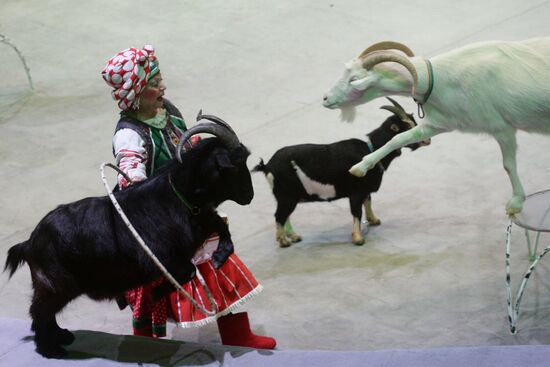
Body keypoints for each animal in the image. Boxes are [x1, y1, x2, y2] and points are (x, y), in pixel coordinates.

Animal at [1, 115, 252, 360]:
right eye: (236, 165)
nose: (249, 195)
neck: (176, 195)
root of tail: (29, 243)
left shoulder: (201, 222)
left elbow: (220, 228)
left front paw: (219, 257)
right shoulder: (162, 259)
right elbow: (187, 271)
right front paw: (155, 293)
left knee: (45, 312)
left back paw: (62, 337)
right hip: (55, 284)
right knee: (40, 311)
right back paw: (51, 349)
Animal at [254, 98, 432, 247]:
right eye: (408, 128)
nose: (427, 139)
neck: (371, 149)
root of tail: (268, 166)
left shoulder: (365, 189)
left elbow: (368, 202)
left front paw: (374, 220)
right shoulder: (356, 192)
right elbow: (357, 212)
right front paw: (358, 238)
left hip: (287, 196)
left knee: (285, 216)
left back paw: (293, 236)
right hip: (286, 196)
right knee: (279, 216)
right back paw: (283, 241)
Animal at [324, 38, 550, 216]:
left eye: (354, 79)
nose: (325, 98)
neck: (442, 79)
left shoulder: (502, 128)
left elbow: (508, 165)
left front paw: (516, 202)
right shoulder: (439, 123)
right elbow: (399, 138)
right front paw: (361, 167)